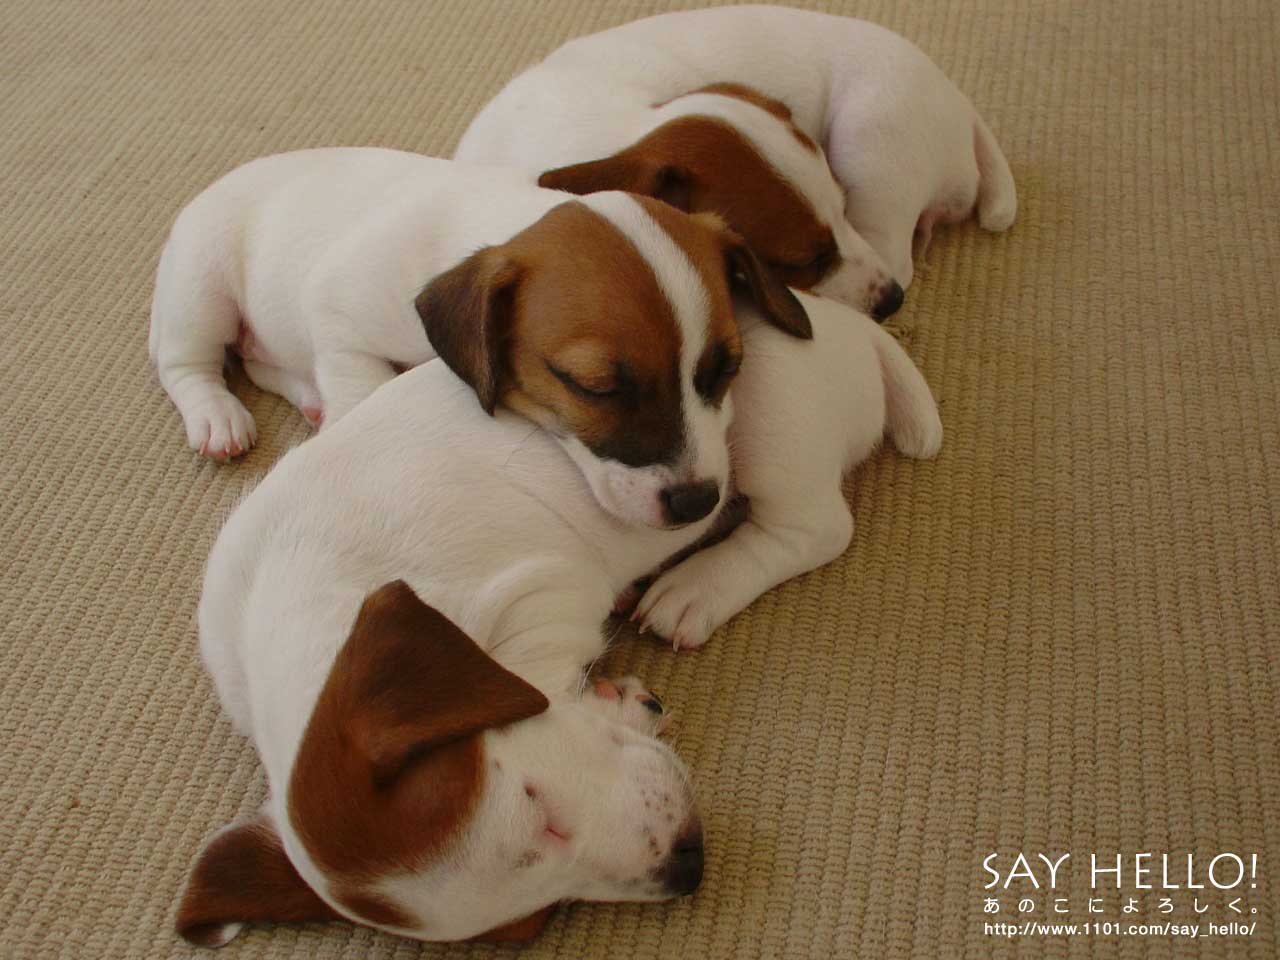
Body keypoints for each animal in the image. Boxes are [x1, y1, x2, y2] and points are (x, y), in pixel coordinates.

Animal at [149, 148, 809, 529]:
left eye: (726, 369)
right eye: (593, 387)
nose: (697, 505)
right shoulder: (340, 320)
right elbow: (362, 390)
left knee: (264, 365)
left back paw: (305, 398)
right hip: (200, 292)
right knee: (190, 366)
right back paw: (217, 417)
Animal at [175, 289, 940, 945]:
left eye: (536, 808)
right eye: (533, 923)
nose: (689, 866)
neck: (316, 599)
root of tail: (848, 327)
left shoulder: (541, 595)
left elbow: (544, 676)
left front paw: (615, 700)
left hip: (774, 421)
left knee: (814, 527)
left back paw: (694, 588)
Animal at [455, 4, 1016, 310]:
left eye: (841, 209)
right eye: (803, 260)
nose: (893, 303)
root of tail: (961, 105)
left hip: (871, 143)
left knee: (895, 254)